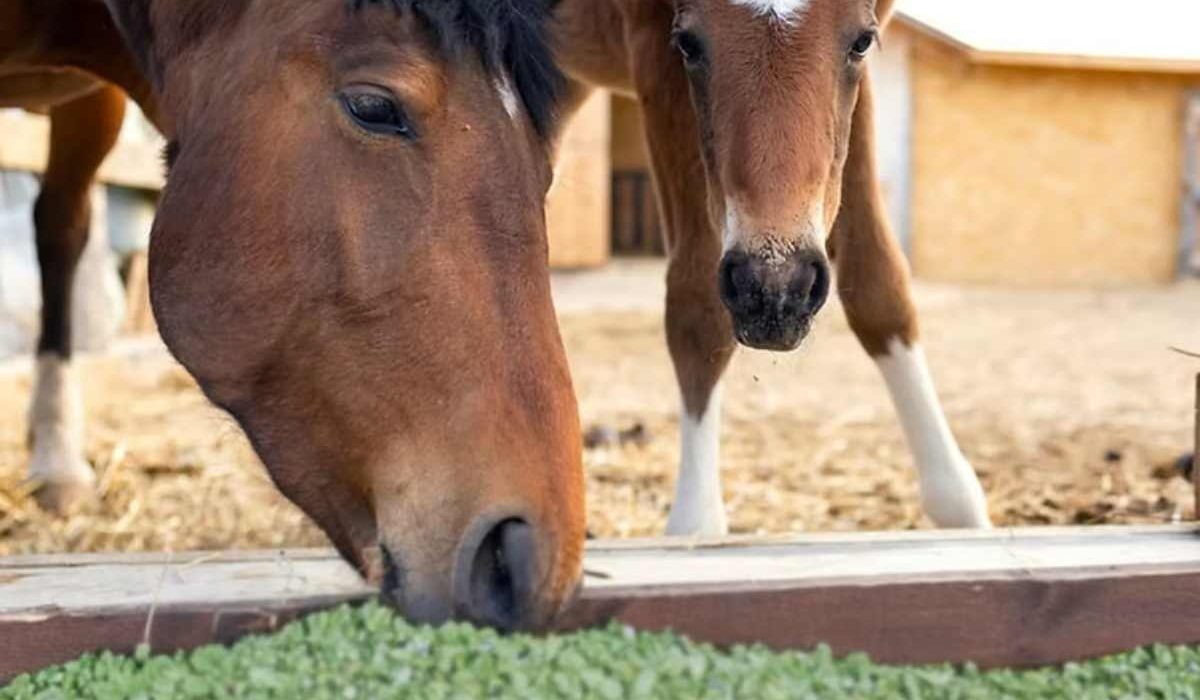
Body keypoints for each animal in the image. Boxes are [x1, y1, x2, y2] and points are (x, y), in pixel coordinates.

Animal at [552, 0, 992, 535]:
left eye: (861, 42)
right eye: (688, 44)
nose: (776, 291)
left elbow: (879, 283)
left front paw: (961, 509)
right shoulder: (652, 49)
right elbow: (698, 309)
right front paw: (696, 527)